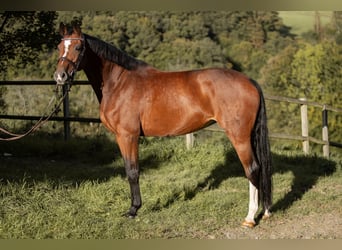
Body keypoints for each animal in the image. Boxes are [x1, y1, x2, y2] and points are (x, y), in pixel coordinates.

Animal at [54, 21, 272, 228]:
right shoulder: (123, 137)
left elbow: (132, 171)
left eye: (78, 47)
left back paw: (250, 218)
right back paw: (265, 212)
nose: (60, 76)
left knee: (252, 169)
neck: (119, 83)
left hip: (239, 137)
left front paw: (133, 210)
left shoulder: (127, 136)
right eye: (59, 46)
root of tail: (250, 81)